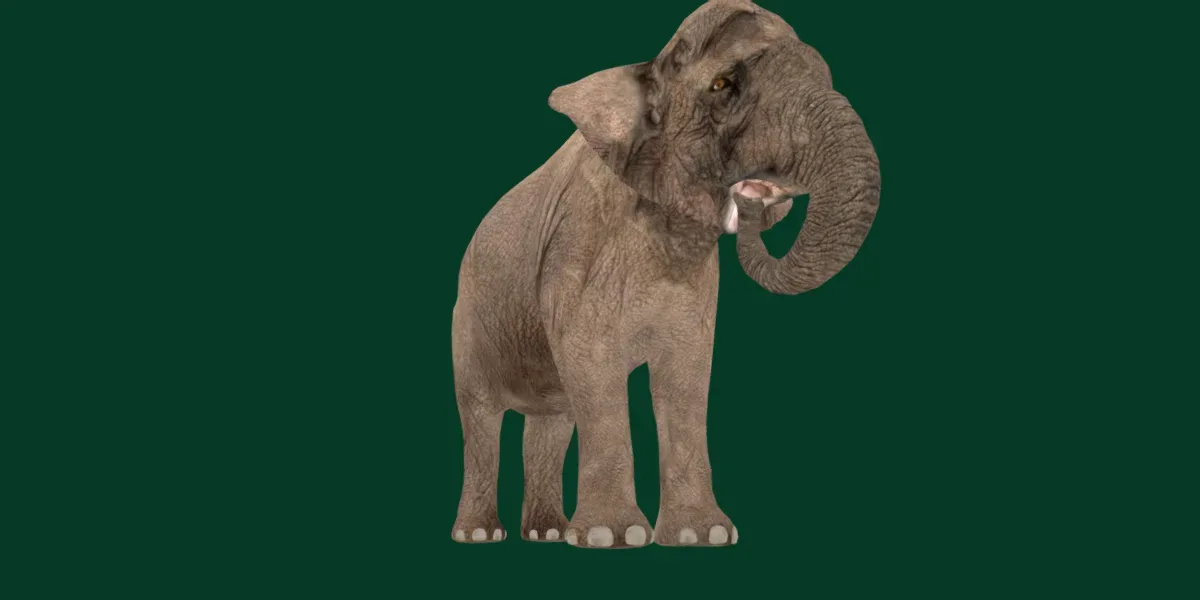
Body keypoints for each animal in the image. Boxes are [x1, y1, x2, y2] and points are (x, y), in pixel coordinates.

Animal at [449, 0, 880, 548]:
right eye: (722, 84)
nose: (753, 198)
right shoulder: (579, 248)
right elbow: (594, 366)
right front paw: (612, 537)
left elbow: (686, 377)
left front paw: (703, 536)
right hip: (469, 320)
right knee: (481, 415)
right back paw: (481, 535)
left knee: (554, 417)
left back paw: (547, 534)